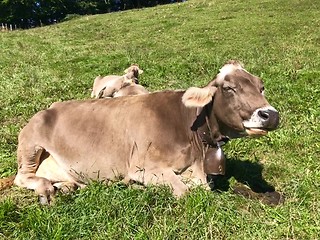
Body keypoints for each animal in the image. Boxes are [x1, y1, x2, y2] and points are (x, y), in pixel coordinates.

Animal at [0, 59, 278, 202]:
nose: (271, 115)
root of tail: (49, 107)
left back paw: (67, 186)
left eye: (261, 86)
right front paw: (138, 187)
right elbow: (183, 192)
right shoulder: (145, 166)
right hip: (31, 144)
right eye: (228, 88)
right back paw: (47, 188)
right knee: (23, 177)